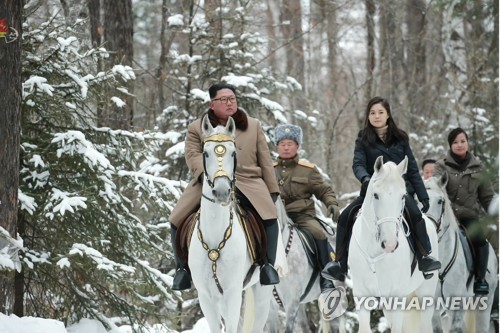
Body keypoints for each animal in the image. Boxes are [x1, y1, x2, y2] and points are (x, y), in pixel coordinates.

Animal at [348, 156, 438, 332]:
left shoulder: (397, 298)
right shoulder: (362, 296)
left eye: (403, 196)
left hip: (426, 292)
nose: (390, 244)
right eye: (375, 195)